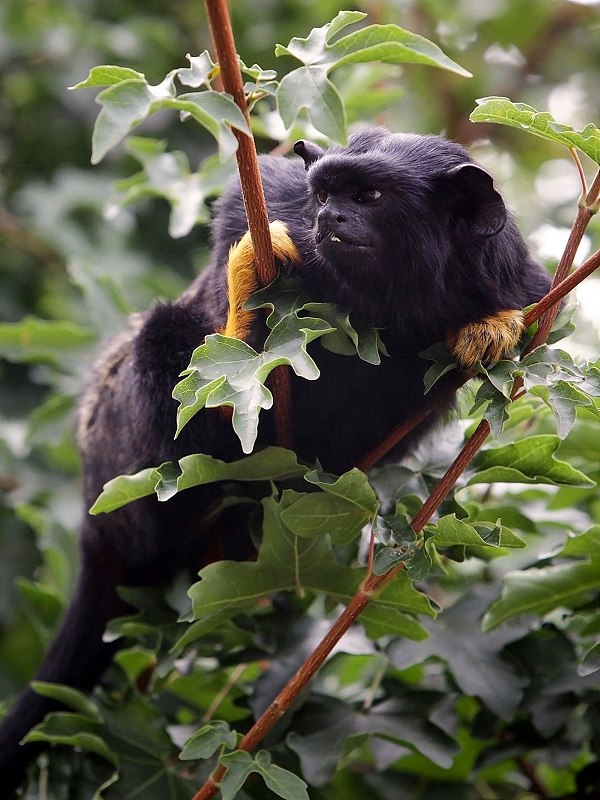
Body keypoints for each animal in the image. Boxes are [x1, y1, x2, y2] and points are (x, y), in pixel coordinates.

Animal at [0, 128, 552, 792]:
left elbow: (528, 325)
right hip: (115, 454)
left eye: (369, 197)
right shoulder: (280, 209)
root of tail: (96, 528)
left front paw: (492, 328)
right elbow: (239, 218)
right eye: (326, 194)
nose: (331, 218)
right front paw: (248, 282)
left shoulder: (515, 277)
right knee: (166, 340)